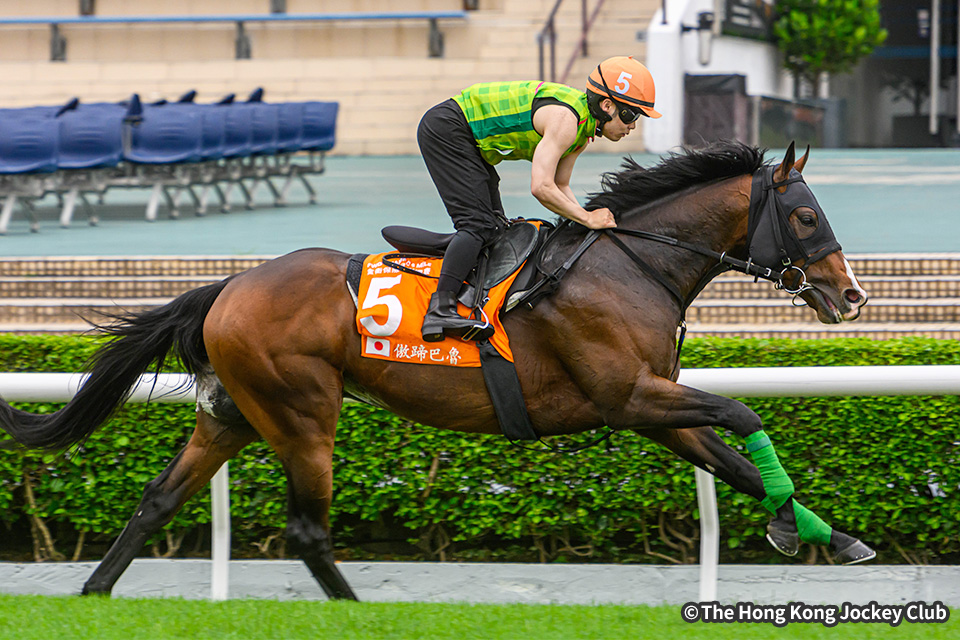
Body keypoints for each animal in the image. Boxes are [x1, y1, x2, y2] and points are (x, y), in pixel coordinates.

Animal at [0, 140, 873, 601]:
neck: (631, 264)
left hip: (235, 414)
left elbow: (732, 460)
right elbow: (744, 417)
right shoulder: (631, 395)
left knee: (156, 500)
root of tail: (230, 286)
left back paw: (94, 594)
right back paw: (352, 610)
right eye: (805, 216)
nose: (852, 297)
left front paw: (831, 534)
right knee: (306, 527)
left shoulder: (647, 407)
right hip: (302, 412)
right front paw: (792, 528)